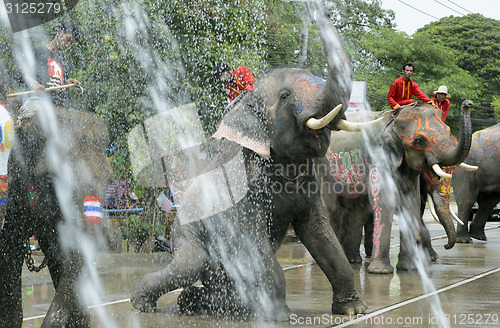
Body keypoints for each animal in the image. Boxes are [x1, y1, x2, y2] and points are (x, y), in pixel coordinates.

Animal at [131, 9, 370, 318]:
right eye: (285, 96)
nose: (323, 11)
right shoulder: (242, 190)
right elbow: (254, 243)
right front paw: (280, 315)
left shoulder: (308, 189)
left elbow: (320, 234)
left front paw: (354, 310)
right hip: (185, 230)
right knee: (188, 265)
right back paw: (143, 304)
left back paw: (202, 303)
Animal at [320, 100, 472, 274]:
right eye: (419, 141)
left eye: (448, 131)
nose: (468, 104)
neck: (393, 121)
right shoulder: (377, 157)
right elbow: (384, 202)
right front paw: (380, 271)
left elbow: (411, 204)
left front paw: (409, 268)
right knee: (332, 208)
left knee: (359, 210)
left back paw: (353, 260)